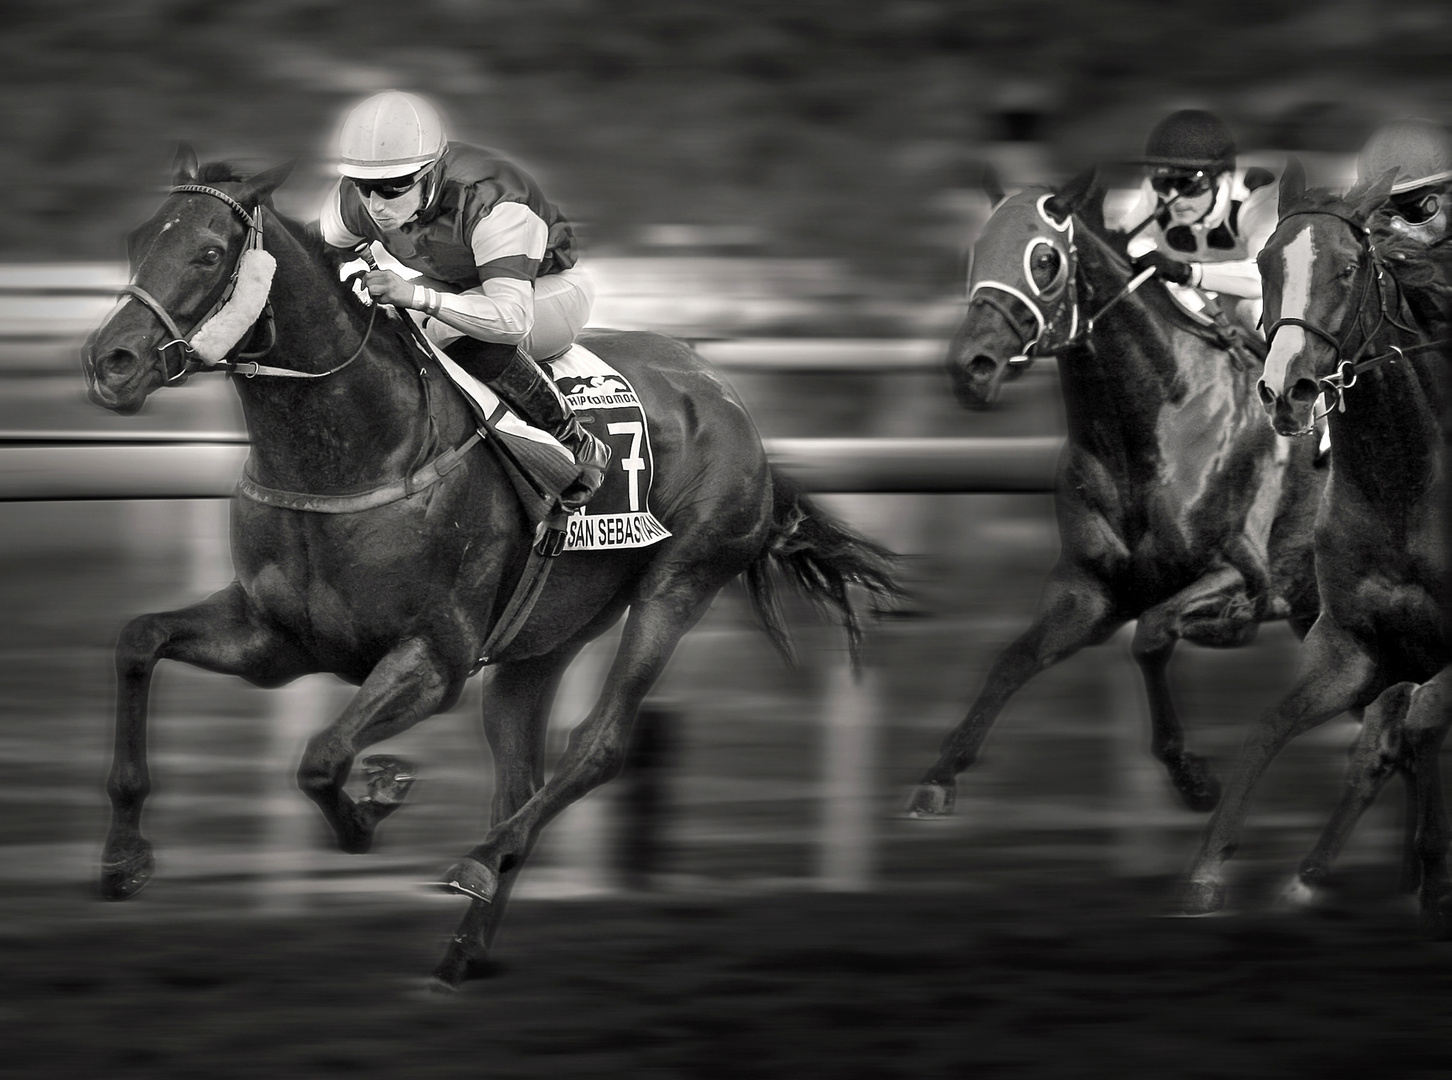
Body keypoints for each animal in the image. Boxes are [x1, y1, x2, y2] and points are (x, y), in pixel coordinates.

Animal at [79, 149, 900, 987]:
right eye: (138, 239)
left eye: (209, 254)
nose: (111, 361)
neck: (355, 450)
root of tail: (727, 396)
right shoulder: (277, 640)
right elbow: (139, 642)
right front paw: (124, 859)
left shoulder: (435, 658)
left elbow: (321, 759)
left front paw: (374, 803)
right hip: (542, 640)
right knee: (520, 778)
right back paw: (464, 946)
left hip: (681, 581)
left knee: (599, 744)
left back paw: (478, 861)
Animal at [906, 170, 1330, 818]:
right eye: (976, 252)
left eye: (1045, 259)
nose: (970, 367)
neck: (1157, 421)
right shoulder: (1090, 587)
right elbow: (1015, 659)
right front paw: (940, 773)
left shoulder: (1240, 572)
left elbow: (1154, 636)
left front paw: (1190, 773)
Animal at [1184, 168, 1446, 929]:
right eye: (1266, 264)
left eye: (1351, 266)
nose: (1288, 390)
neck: (1406, 485)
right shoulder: (1354, 645)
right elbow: (1270, 726)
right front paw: (1207, 872)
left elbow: (1418, 726)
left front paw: (1435, 878)